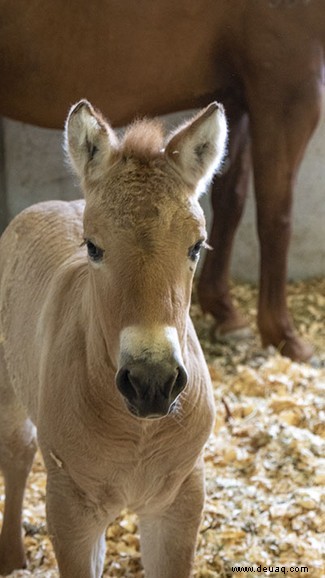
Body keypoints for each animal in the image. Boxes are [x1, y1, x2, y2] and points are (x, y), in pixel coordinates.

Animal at [0, 101, 227, 572]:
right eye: (92, 246)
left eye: (197, 246)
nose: (151, 383)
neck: (137, 433)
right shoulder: (70, 509)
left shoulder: (179, 503)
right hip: (8, 393)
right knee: (16, 456)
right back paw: (12, 558)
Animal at [1, 1, 322, 360]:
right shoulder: (288, 89)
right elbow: (276, 218)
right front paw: (285, 335)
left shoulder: (235, 99)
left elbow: (231, 200)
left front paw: (225, 311)